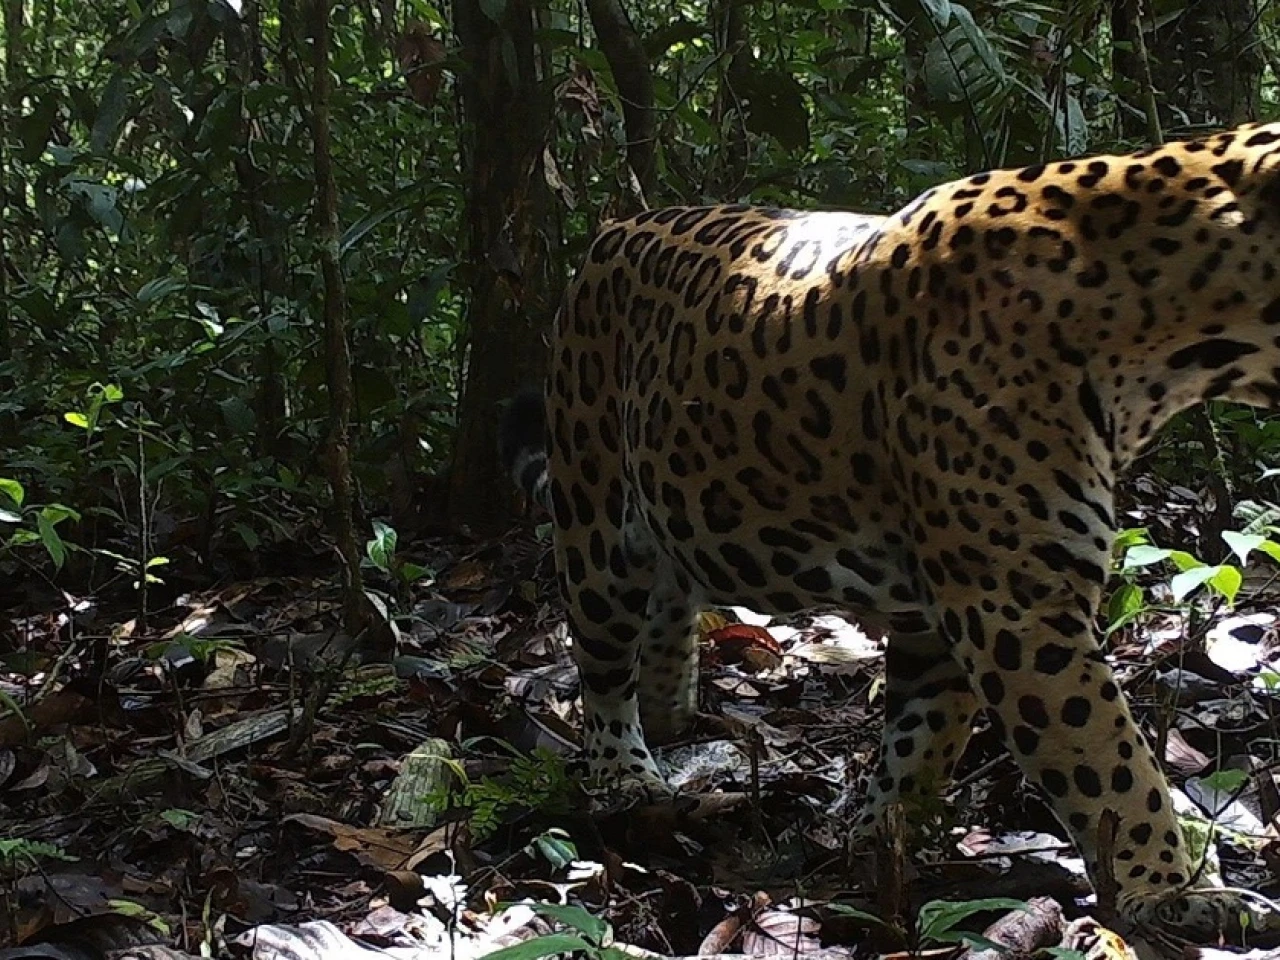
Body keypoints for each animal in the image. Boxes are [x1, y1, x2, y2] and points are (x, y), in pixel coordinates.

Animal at [499, 122, 1280, 938]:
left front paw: (880, 837)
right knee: (600, 661)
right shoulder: (1017, 606)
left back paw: (668, 699)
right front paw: (1174, 891)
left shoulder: (948, 614)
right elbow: (1111, 760)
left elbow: (922, 741)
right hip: (592, 509)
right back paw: (626, 774)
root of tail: (614, 230)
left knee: (673, 580)